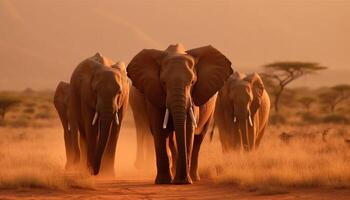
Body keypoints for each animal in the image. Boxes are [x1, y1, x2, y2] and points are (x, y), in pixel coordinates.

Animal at [127, 43, 234, 184]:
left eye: (192, 82)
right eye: (163, 83)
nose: (182, 180)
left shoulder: (193, 99)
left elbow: (188, 130)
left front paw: (183, 181)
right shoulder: (155, 93)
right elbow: (160, 130)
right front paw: (163, 182)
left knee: (198, 139)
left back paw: (194, 177)